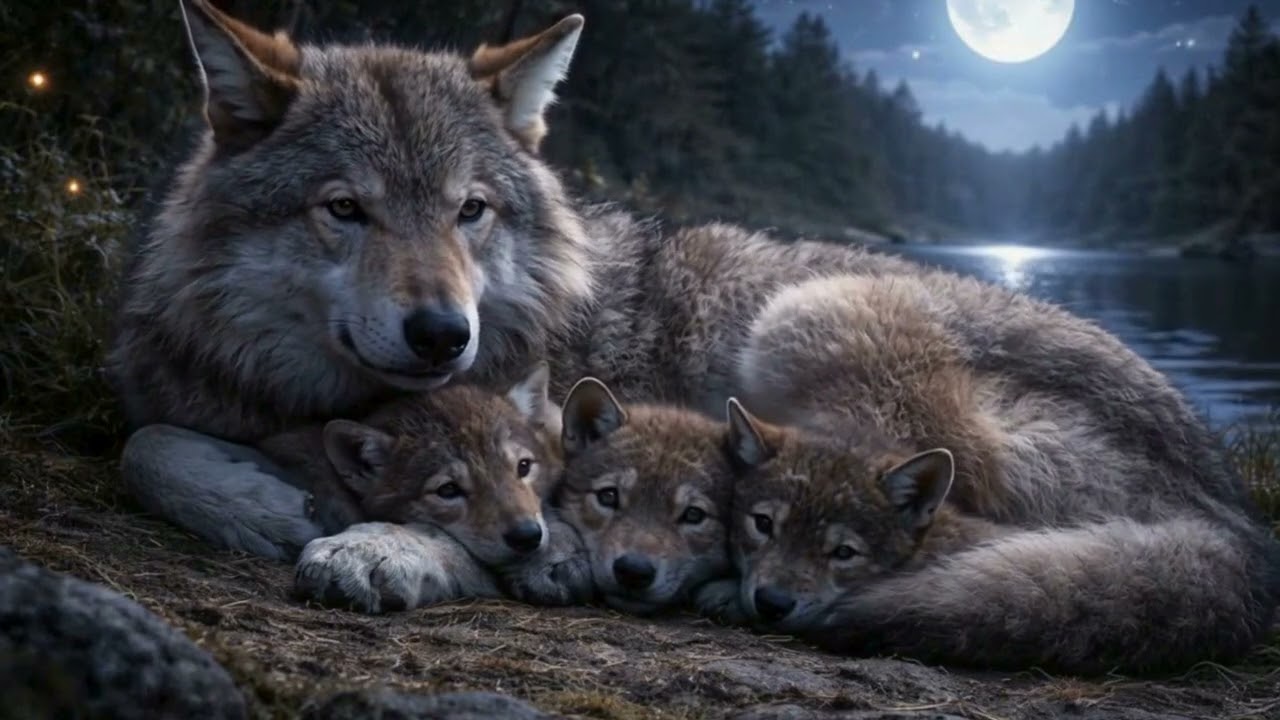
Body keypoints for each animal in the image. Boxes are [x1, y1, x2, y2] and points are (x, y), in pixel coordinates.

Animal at [110, 1, 1275, 628]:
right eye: (344, 209)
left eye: (469, 210)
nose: (445, 334)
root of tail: (1226, 508)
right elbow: (144, 441)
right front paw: (259, 502)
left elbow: (503, 525)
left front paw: (382, 549)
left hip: (809, 315)